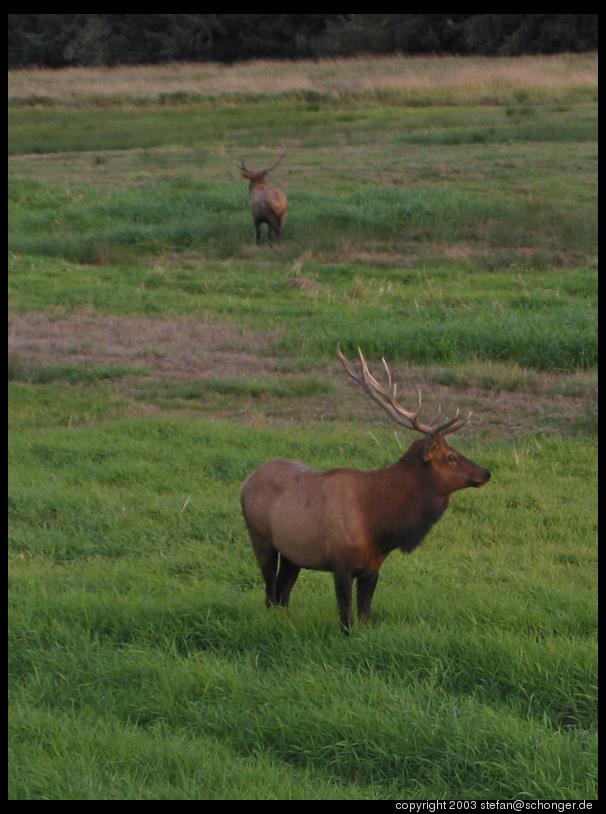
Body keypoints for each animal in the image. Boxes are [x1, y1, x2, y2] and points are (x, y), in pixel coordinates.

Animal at [240, 348, 492, 636]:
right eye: (451, 457)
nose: (486, 472)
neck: (379, 523)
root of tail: (246, 481)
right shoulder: (340, 563)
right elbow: (346, 617)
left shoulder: (373, 567)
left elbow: (365, 615)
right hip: (261, 538)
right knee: (270, 592)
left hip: (293, 552)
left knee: (283, 592)